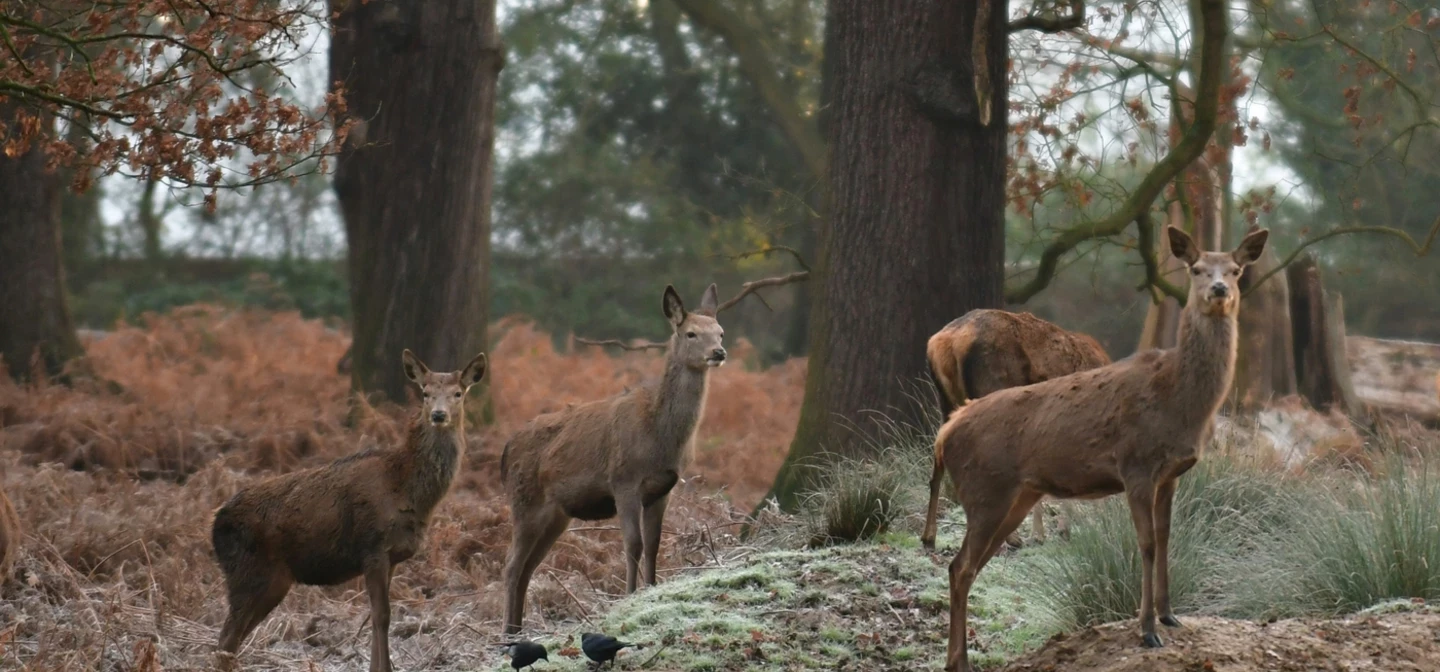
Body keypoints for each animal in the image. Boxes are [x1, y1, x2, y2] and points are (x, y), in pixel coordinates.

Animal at [211, 349, 486, 672]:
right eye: (425, 392)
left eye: (458, 393)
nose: (438, 415)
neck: (407, 490)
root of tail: (215, 525)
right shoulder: (372, 546)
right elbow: (382, 616)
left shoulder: (392, 556)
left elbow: (376, 616)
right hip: (252, 572)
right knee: (227, 638)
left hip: (265, 578)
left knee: (231, 638)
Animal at [500, 284, 727, 635]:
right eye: (691, 333)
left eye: (720, 332)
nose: (719, 352)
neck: (660, 437)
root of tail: (507, 448)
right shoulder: (624, 482)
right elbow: (633, 543)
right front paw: (630, 596)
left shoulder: (664, 488)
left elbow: (654, 544)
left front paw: (651, 589)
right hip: (525, 502)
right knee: (511, 566)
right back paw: (506, 633)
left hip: (557, 514)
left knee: (527, 567)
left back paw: (517, 630)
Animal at [927, 309, 1112, 547]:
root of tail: (947, 341)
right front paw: (1052, 531)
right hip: (990, 390)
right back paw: (1009, 537)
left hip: (946, 401)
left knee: (937, 466)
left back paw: (929, 535)